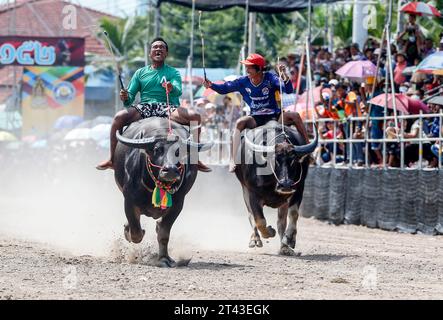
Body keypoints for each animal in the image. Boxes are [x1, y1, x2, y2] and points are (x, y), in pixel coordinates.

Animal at [113, 117, 212, 268]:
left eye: (178, 152)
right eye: (157, 149)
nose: (170, 170)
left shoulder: (178, 204)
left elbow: (163, 233)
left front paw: (164, 259)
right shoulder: (129, 200)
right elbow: (136, 232)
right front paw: (129, 231)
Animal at [234, 120, 318, 255]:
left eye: (293, 160)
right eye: (275, 160)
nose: (286, 184)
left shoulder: (299, 189)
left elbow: (293, 214)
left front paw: (289, 239)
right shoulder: (252, 193)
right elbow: (260, 220)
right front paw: (269, 232)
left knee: (281, 222)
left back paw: (284, 247)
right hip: (244, 189)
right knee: (250, 215)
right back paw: (255, 239)